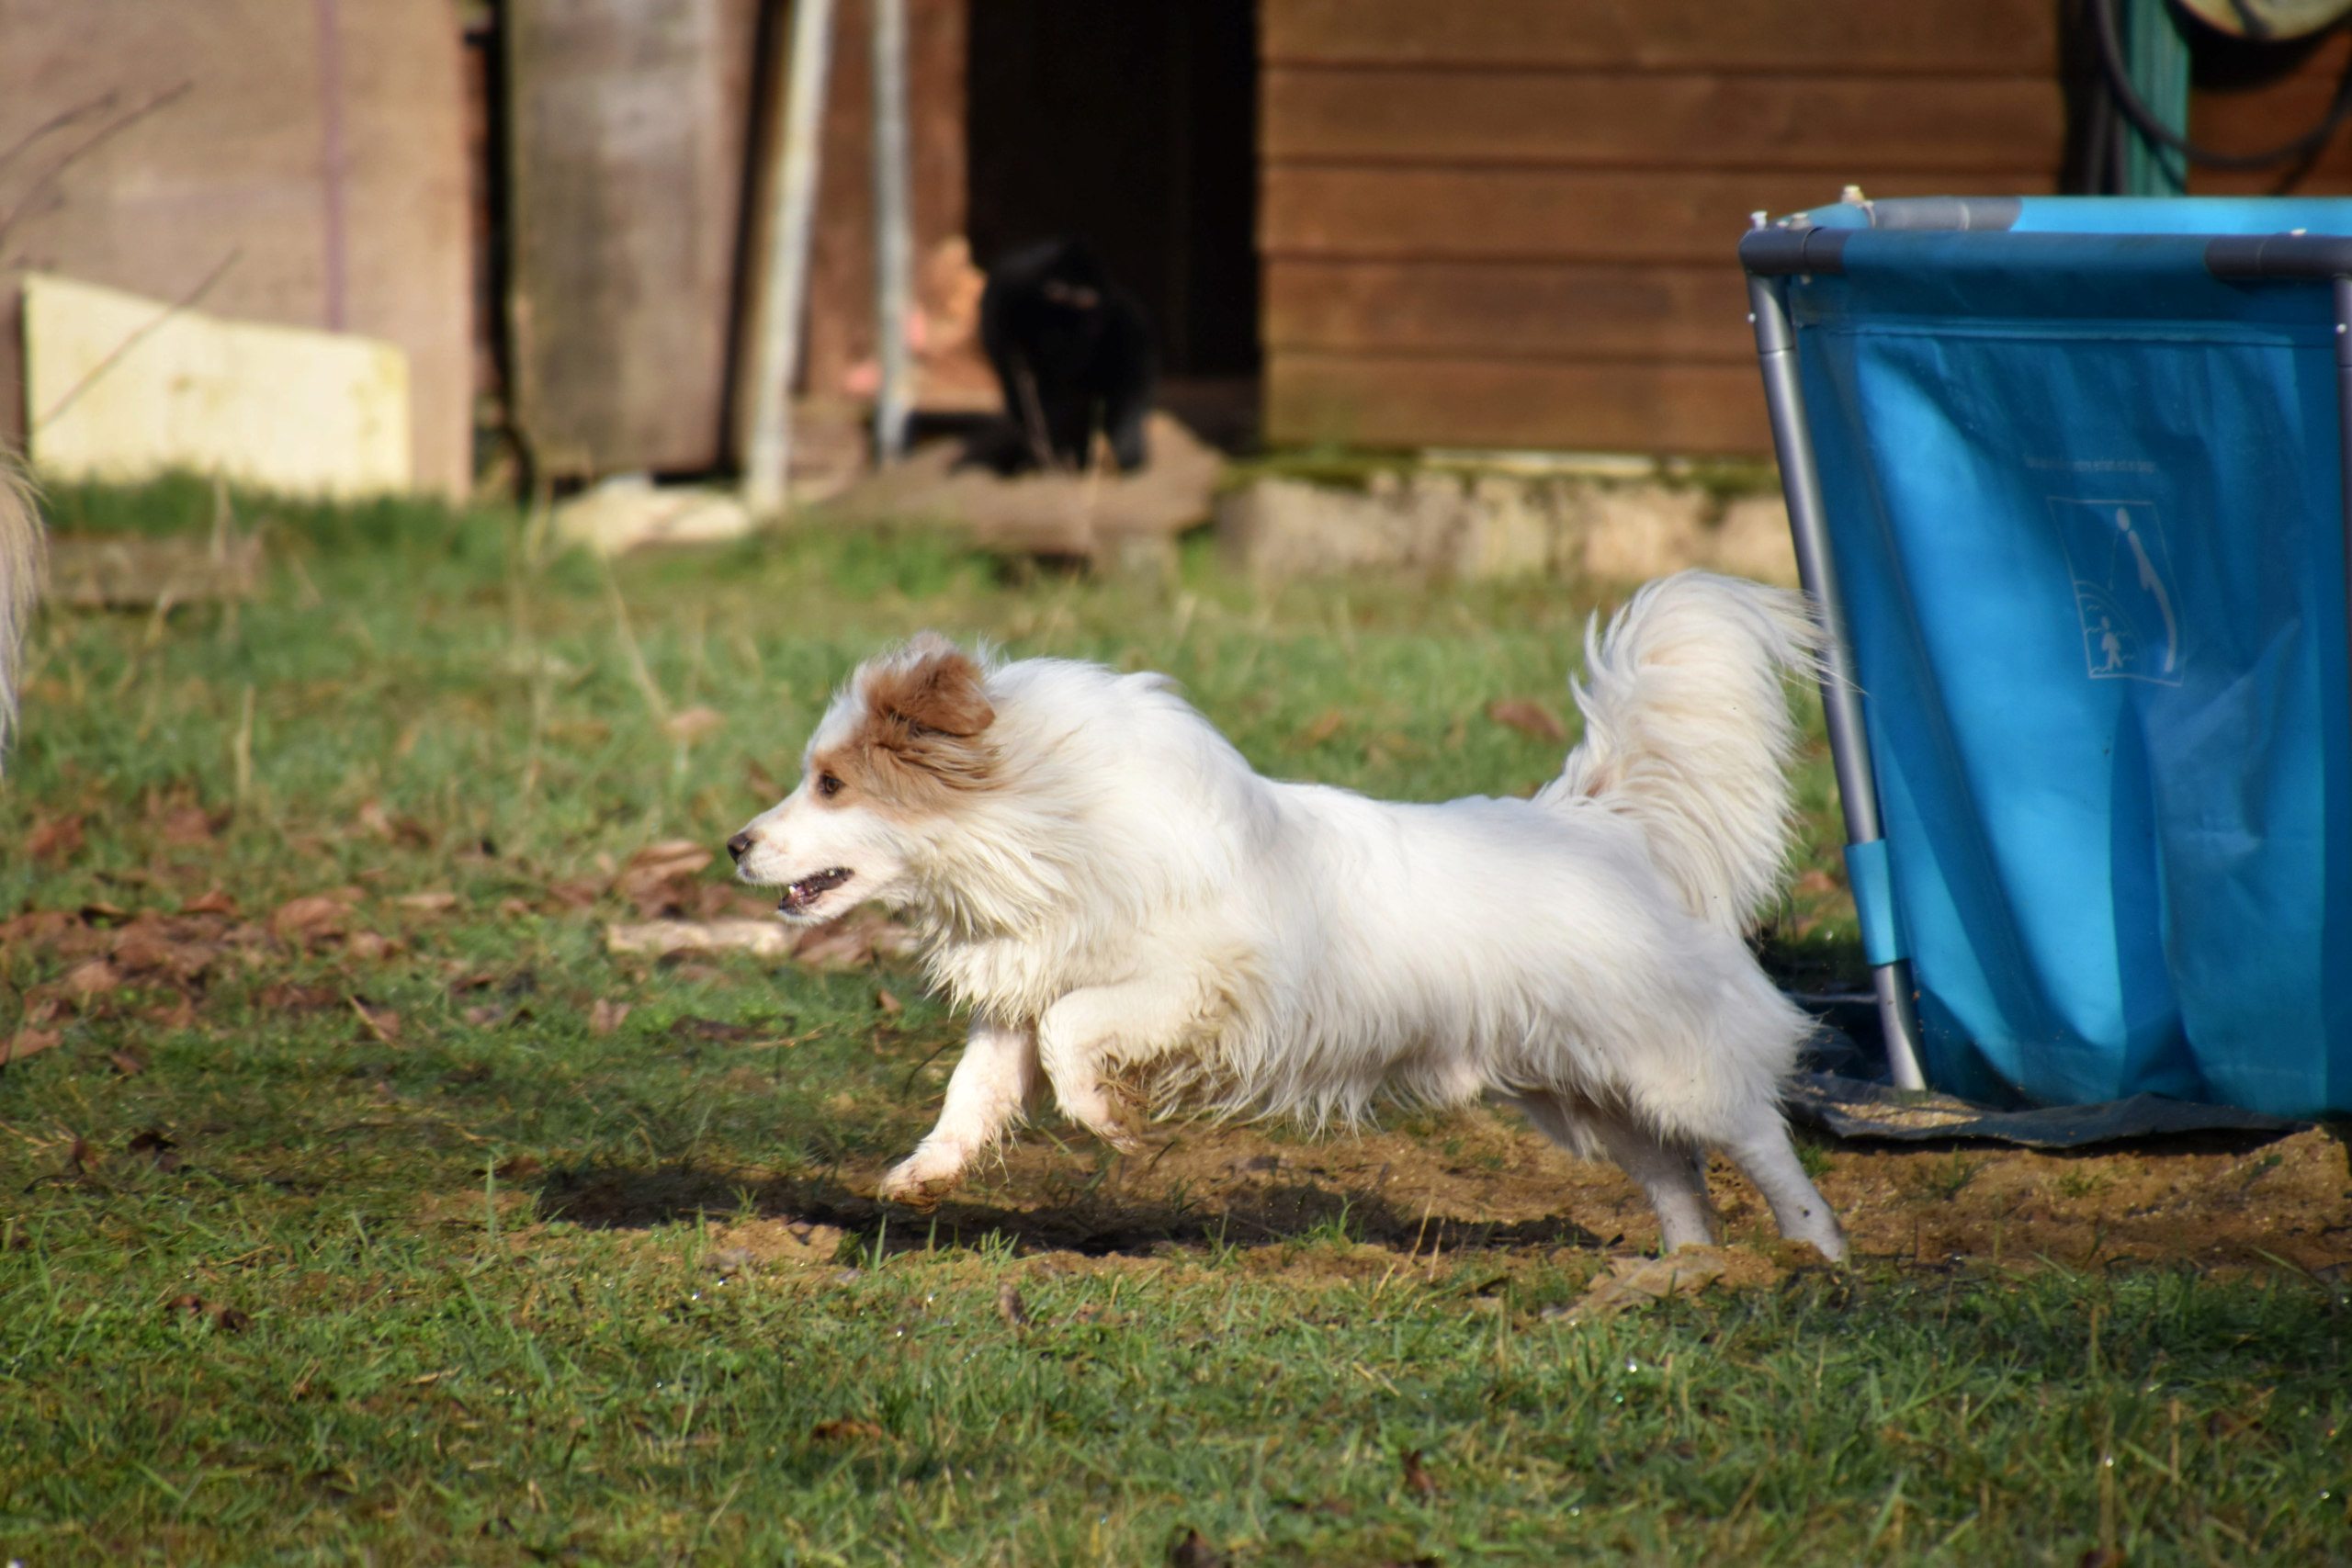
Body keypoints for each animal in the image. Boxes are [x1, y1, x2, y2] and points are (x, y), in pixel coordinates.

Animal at [724, 576, 1844, 1259]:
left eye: (829, 784)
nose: (734, 844)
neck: (1047, 825)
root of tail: (1599, 824)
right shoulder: (1020, 991)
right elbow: (980, 1085)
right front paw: (923, 1173)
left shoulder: (1194, 980)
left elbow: (1075, 1033)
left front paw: (1107, 1118)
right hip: (1586, 1090)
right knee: (1676, 1176)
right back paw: (1689, 1275)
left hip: (1664, 1061)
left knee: (1755, 1137)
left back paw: (1815, 1256)